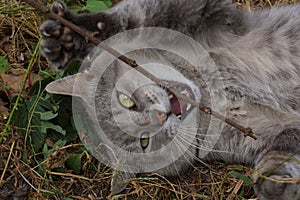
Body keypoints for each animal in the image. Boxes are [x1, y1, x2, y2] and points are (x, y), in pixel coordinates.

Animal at [39, 0, 300, 199]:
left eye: (125, 100)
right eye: (145, 142)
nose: (160, 116)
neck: (211, 92)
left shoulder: (206, 15)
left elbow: (136, 18)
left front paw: (71, 34)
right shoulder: (272, 133)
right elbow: (280, 157)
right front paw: (276, 185)